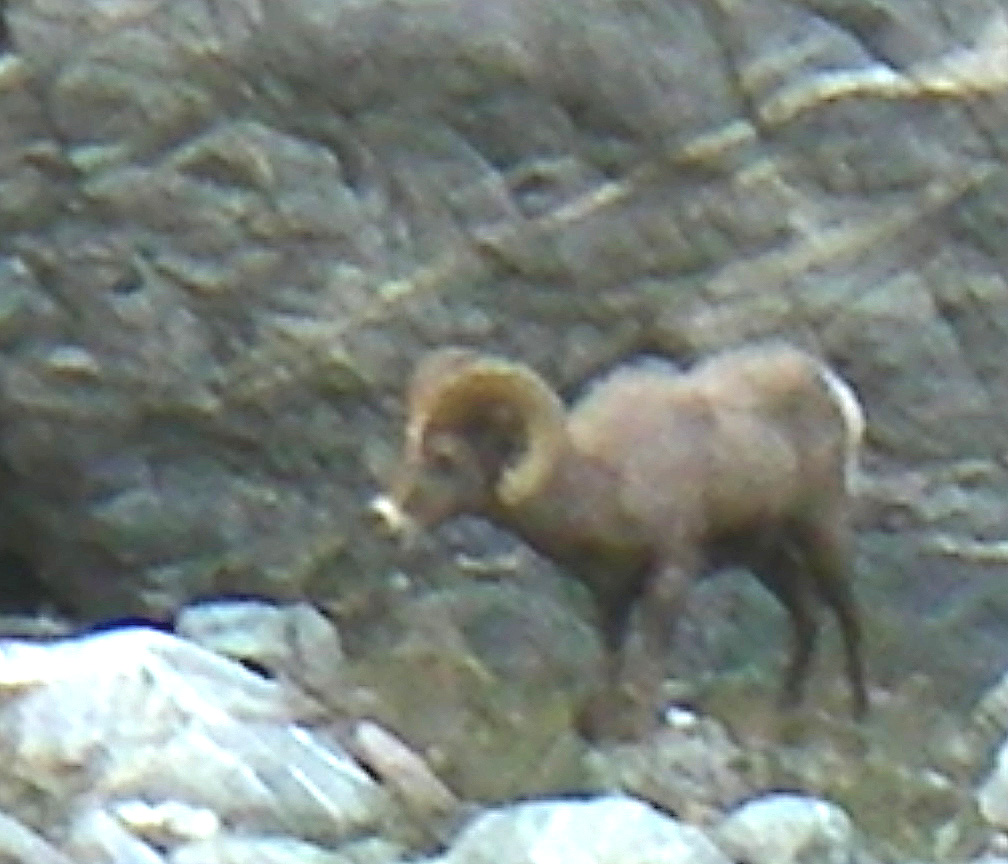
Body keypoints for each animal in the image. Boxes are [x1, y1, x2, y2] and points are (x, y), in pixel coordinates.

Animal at [370, 340, 866, 725]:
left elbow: (650, 665)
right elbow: (611, 661)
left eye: (445, 457)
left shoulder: (671, 573)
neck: (603, 486)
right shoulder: (609, 594)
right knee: (807, 615)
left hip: (822, 530)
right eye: (407, 445)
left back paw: (859, 718)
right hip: (767, 557)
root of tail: (829, 385)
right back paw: (784, 714)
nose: (385, 521)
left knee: (847, 613)